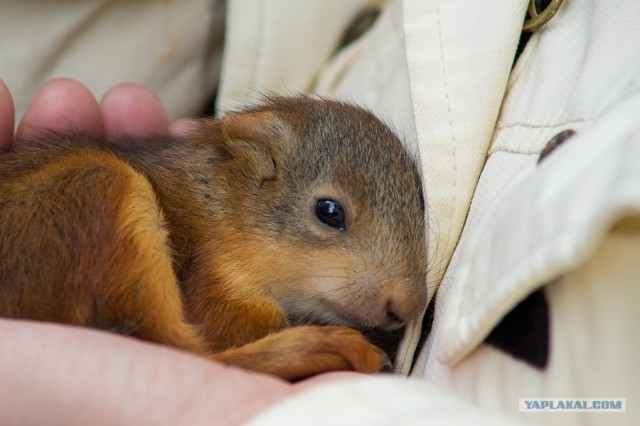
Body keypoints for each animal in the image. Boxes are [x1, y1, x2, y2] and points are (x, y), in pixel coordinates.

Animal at [0, 96, 427, 380]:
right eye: (329, 212)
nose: (409, 306)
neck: (221, 211)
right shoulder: (215, 279)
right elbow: (222, 332)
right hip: (98, 189)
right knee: (188, 350)